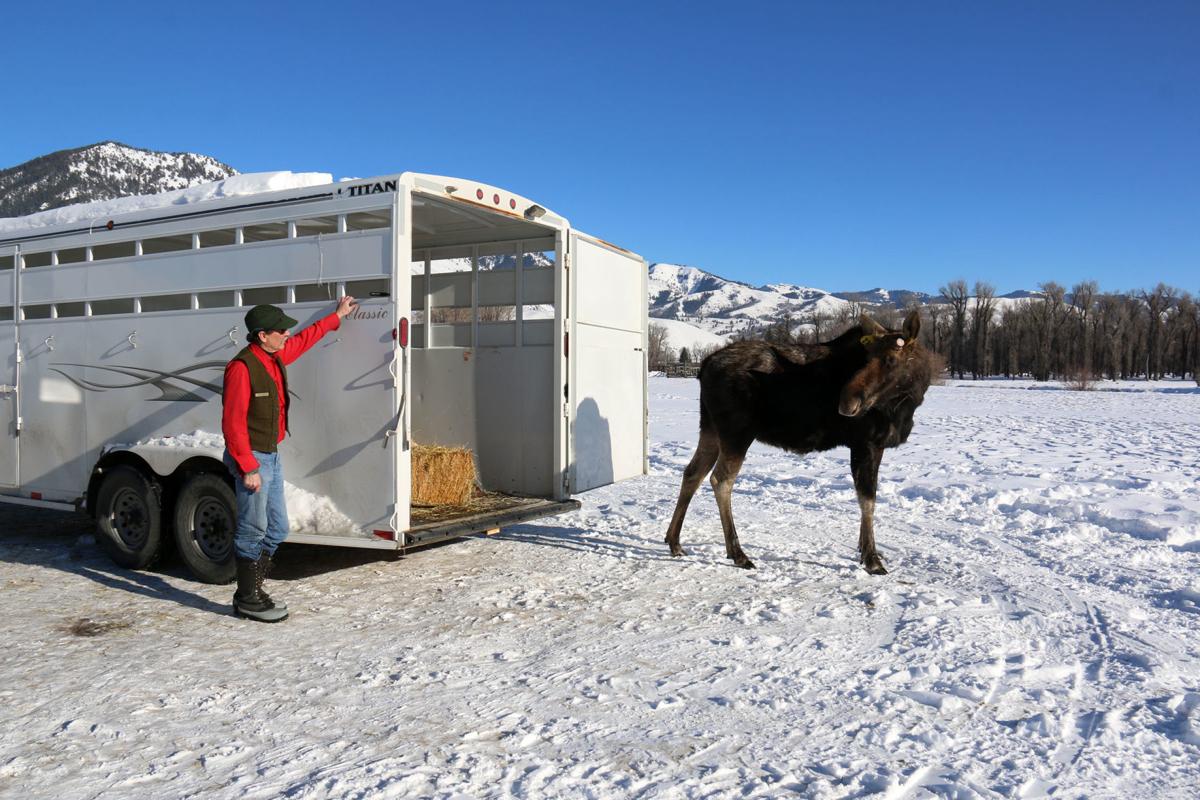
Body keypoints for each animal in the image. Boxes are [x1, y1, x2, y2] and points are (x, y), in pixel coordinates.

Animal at [664, 309, 935, 574]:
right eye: (866, 357)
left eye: (891, 359)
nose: (846, 403)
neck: (908, 401)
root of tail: (704, 367)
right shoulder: (866, 442)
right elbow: (867, 500)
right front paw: (872, 559)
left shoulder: (871, 445)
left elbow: (867, 498)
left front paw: (864, 550)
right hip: (737, 432)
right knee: (720, 480)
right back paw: (738, 553)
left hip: (710, 429)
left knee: (693, 473)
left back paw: (674, 541)